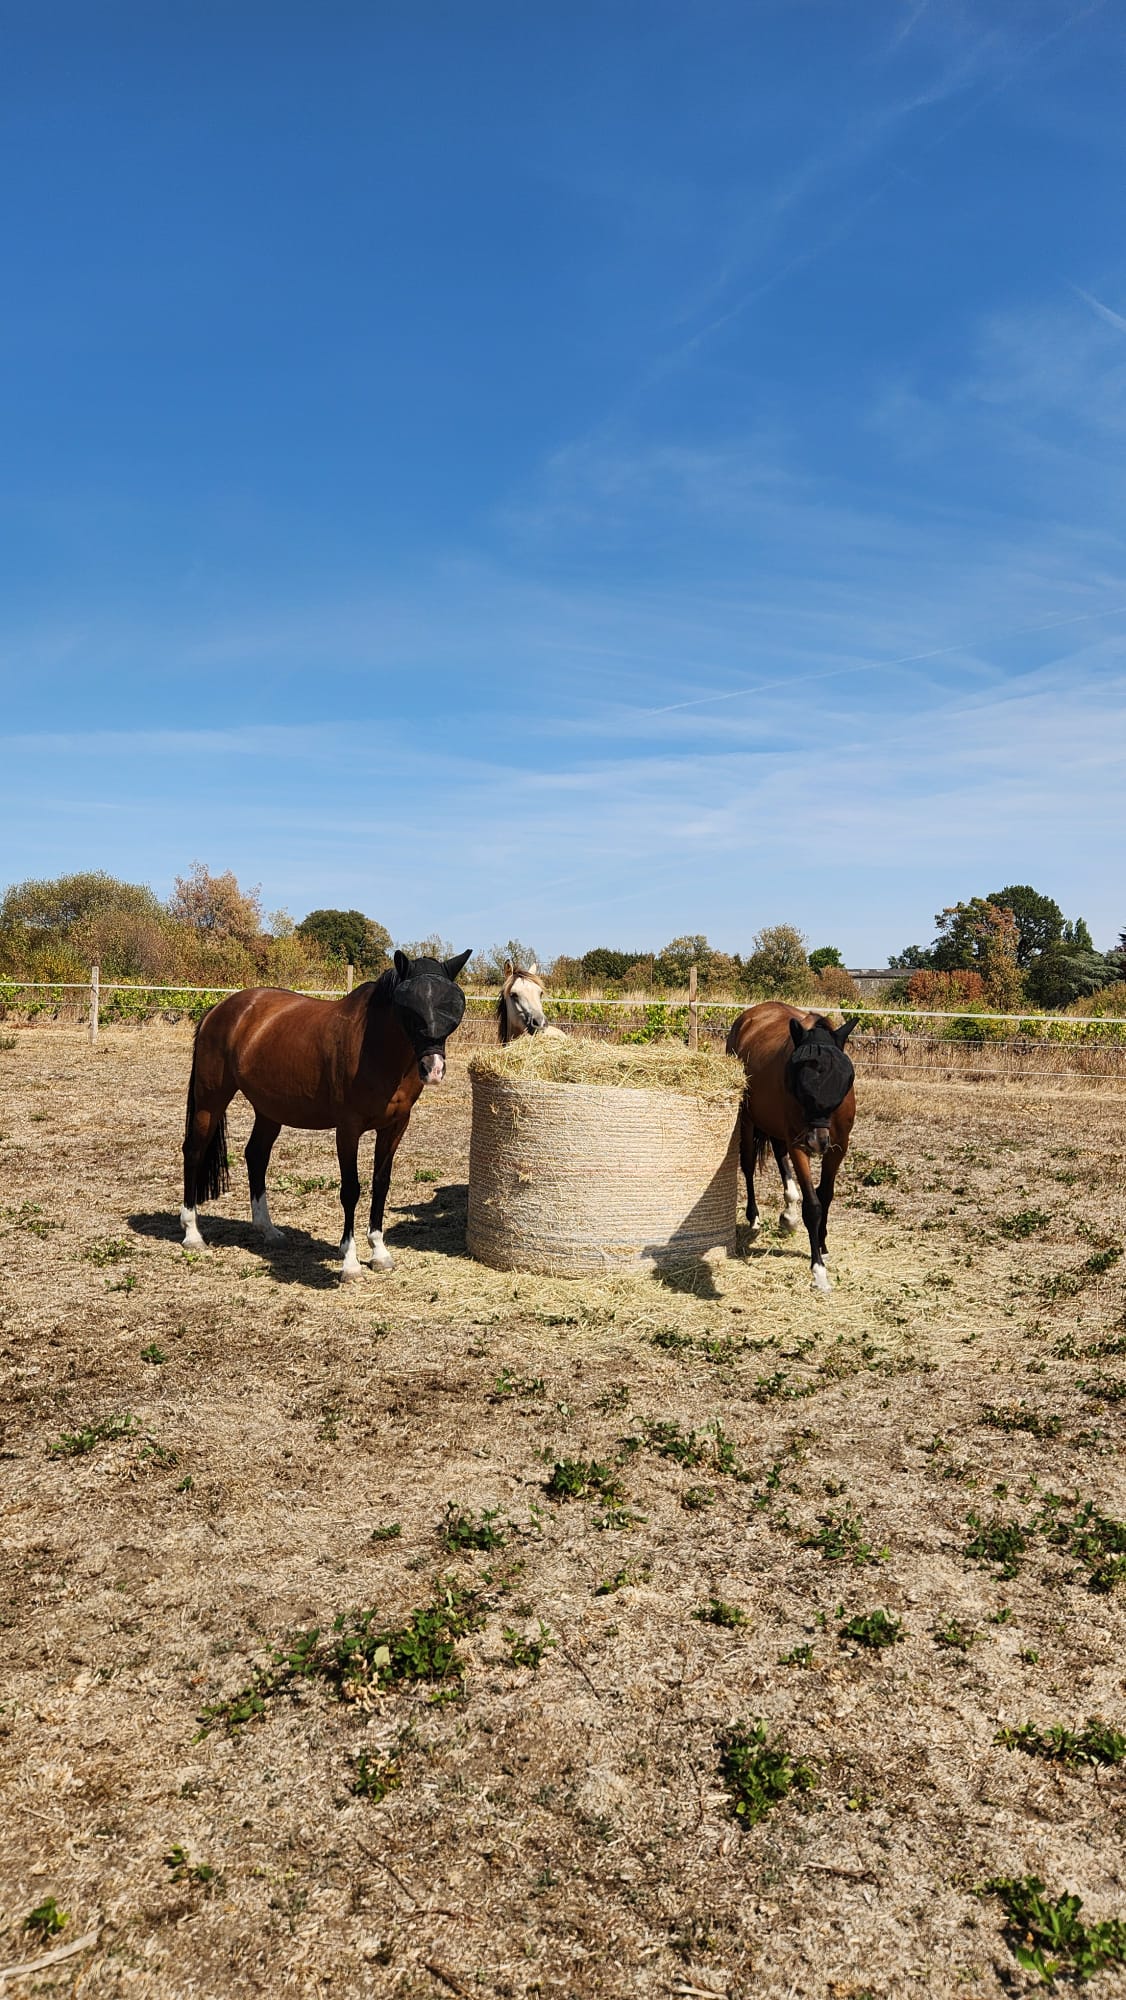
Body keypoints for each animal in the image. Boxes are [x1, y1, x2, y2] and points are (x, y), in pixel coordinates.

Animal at [180, 947, 471, 1281]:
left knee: (256, 1155)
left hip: (269, 1110)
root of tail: (219, 1009)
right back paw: (192, 1234)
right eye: (409, 1009)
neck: (374, 1046)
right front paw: (350, 1263)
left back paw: (268, 1230)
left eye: (452, 1006)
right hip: (210, 1100)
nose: (433, 1069)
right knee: (194, 1151)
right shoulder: (348, 1129)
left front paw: (379, 1252)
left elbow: (381, 1183)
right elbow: (351, 1190)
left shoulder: (395, 1126)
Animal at [725, 1002, 858, 1294]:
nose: (818, 1141)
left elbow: (826, 1195)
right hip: (748, 1119)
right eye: (800, 1080)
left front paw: (822, 1244)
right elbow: (813, 1205)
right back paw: (755, 1217)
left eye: (843, 1078)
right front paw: (818, 1271)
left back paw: (788, 1210)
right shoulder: (799, 1143)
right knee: (748, 1164)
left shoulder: (838, 1147)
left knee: (778, 1152)